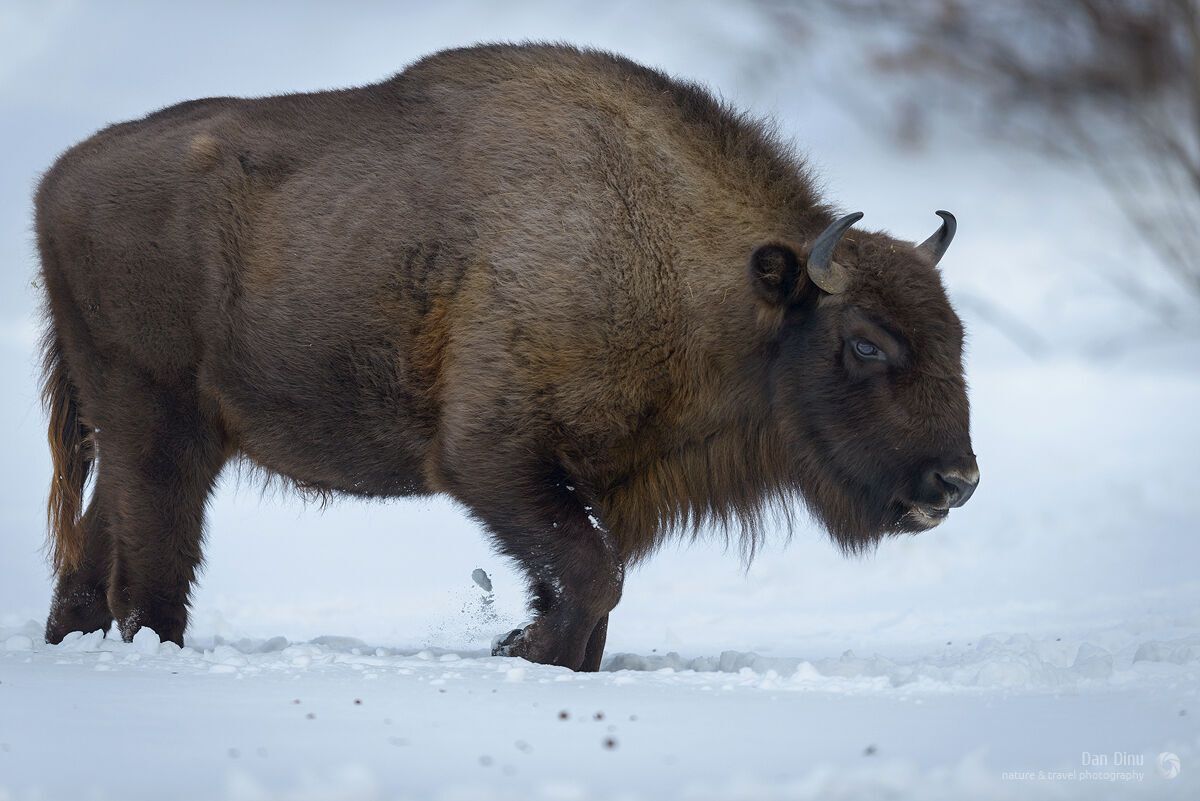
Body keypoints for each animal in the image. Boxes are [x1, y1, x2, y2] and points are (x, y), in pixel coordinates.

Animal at [37, 43, 979, 671]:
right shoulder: (492, 460)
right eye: (864, 341)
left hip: (149, 430)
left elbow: (587, 583)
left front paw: (541, 650)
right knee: (152, 563)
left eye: (955, 333)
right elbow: (592, 575)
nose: (957, 480)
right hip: (160, 423)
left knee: (97, 549)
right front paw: (521, 649)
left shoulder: (579, 480)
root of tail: (56, 183)